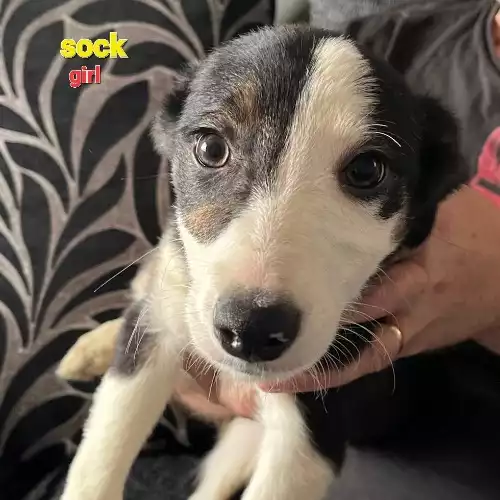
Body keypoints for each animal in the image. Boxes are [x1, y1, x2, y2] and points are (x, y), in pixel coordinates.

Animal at [60, 26, 466, 500]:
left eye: (367, 170)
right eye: (211, 147)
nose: (251, 330)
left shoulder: (310, 434)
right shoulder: (154, 334)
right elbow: (98, 461)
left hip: (243, 442)